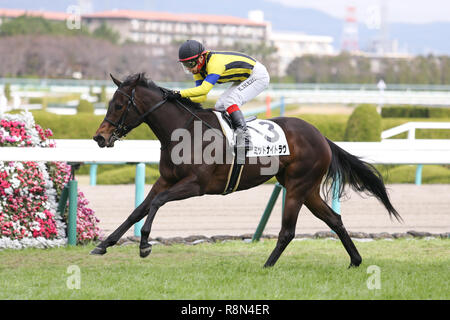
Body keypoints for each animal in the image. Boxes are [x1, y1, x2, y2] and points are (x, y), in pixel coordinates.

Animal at [91, 72, 400, 268]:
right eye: (109, 103)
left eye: (119, 105)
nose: (99, 137)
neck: (184, 132)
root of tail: (321, 136)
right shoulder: (166, 180)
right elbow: (137, 211)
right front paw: (104, 244)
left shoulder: (196, 185)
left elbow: (156, 204)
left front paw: (144, 244)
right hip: (307, 189)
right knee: (334, 220)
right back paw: (355, 261)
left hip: (297, 187)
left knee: (288, 231)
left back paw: (266, 266)